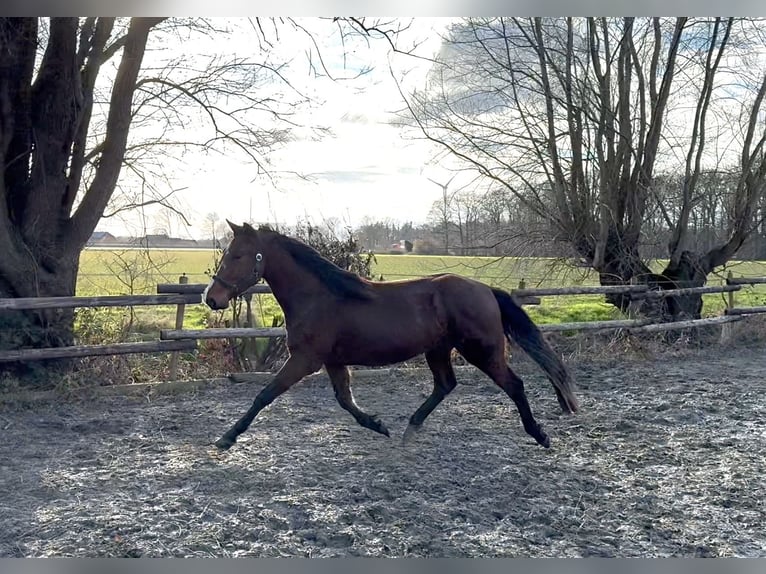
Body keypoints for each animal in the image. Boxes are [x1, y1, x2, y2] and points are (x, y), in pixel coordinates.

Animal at [203, 221, 579, 451]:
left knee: (514, 385)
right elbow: (345, 400)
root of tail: (485, 289)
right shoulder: (332, 362)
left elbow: (263, 395)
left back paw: (540, 435)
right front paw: (379, 425)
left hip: (481, 350)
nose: (212, 298)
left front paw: (226, 438)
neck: (318, 297)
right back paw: (409, 431)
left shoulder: (305, 360)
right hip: (438, 350)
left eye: (237, 255)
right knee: (446, 385)